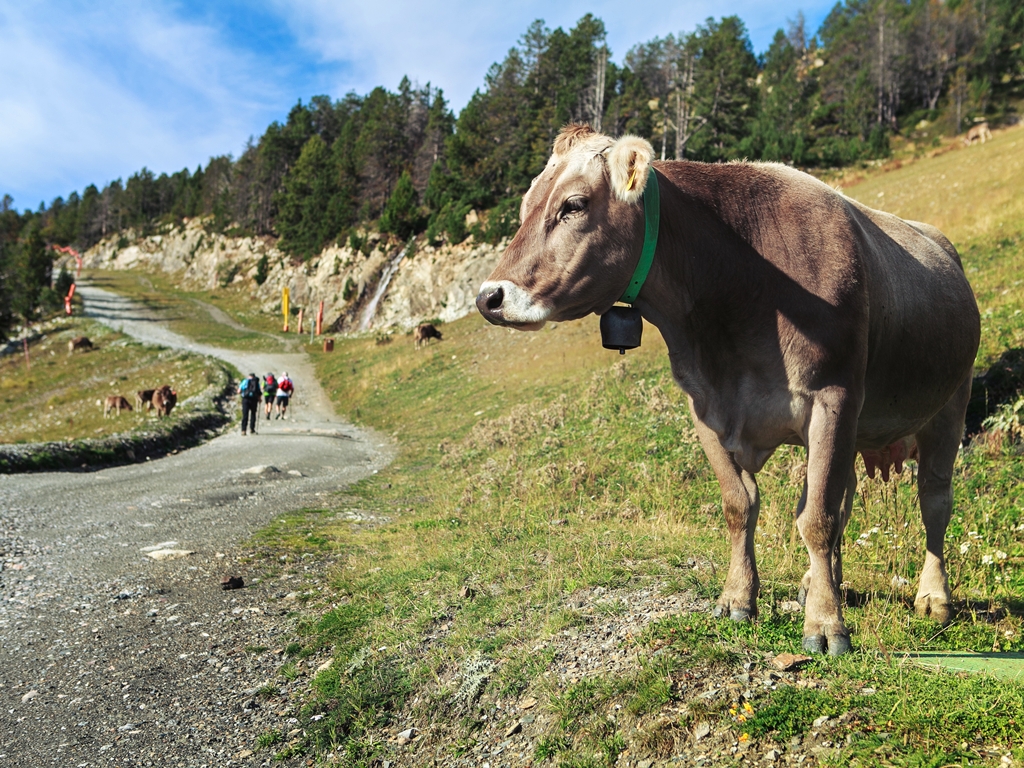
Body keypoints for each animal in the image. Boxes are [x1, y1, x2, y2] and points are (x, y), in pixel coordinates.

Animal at [475, 124, 978, 655]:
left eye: (573, 204)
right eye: (525, 206)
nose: (489, 297)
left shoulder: (833, 397)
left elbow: (816, 520)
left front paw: (826, 625)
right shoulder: (706, 407)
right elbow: (742, 506)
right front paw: (739, 598)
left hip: (949, 404)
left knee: (934, 500)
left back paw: (933, 598)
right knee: (845, 499)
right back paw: (820, 583)